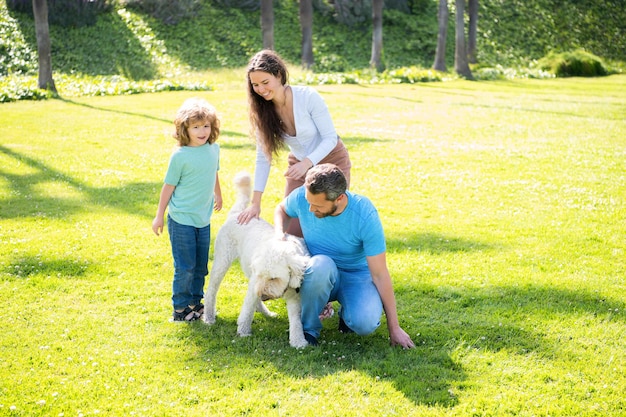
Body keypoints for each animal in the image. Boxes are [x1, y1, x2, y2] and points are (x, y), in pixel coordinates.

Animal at [205, 171, 310, 346]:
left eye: (274, 278)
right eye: (264, 276)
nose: (263, 295)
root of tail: (237, 213)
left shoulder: (293, 294)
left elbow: (295, 319)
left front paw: (298, 341)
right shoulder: (256, 281)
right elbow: (247, 309)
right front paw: (243, 332)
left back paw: (267, 313)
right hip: (222, 260)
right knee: (212, 290)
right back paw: (208, 317)